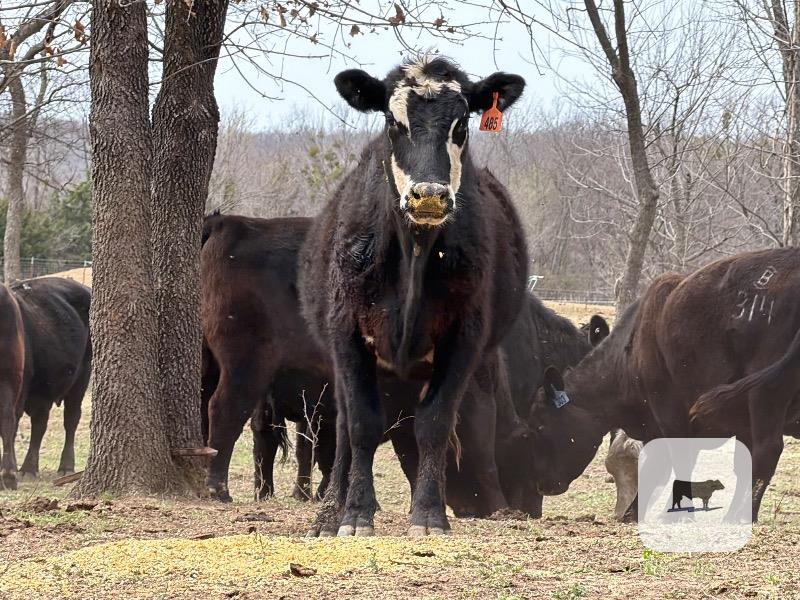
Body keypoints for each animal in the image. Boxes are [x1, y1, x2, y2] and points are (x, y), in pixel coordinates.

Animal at [298, 56, 528, 537]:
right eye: (392, 121)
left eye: (462, 125)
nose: (429, 195)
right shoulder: (347, 334)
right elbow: (362, 424)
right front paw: (354, 515)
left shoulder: (464, 338)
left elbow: (435, 424)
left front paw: (428, 514)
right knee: (345, 426)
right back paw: (329, 513)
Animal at [527, 248, 800, 522]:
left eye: (540, 426)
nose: (541, 485)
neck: (630, 352)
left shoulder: (669, 413)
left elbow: (671, 461)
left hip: (764, 395)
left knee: (767, 450)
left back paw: (740, 517)